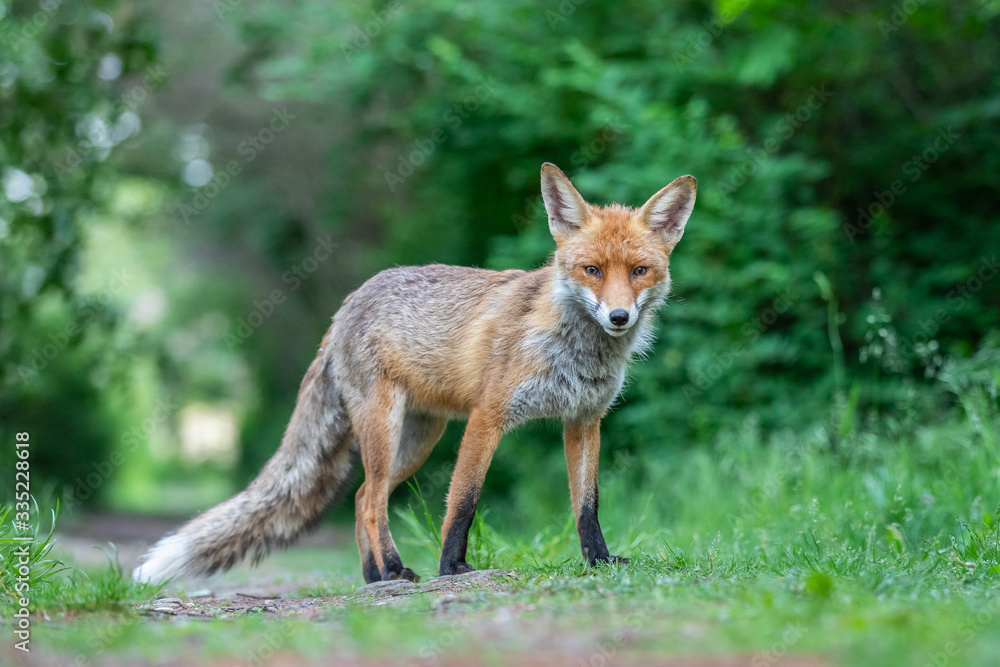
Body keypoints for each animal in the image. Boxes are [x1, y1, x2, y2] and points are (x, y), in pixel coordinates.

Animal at [133, 163, 697, 584]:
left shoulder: (583, 420)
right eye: (592, 270)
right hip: (386, 430)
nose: (619, 317)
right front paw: (453, 567)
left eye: (639, 271)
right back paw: (394, 570)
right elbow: (463, 501)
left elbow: (587, 505)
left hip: (419, 440)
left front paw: (599, 561)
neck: (573, 349)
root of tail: (345, 307)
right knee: (371, 500)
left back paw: (374, 576)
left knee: (363, 496)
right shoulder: (487, 416)